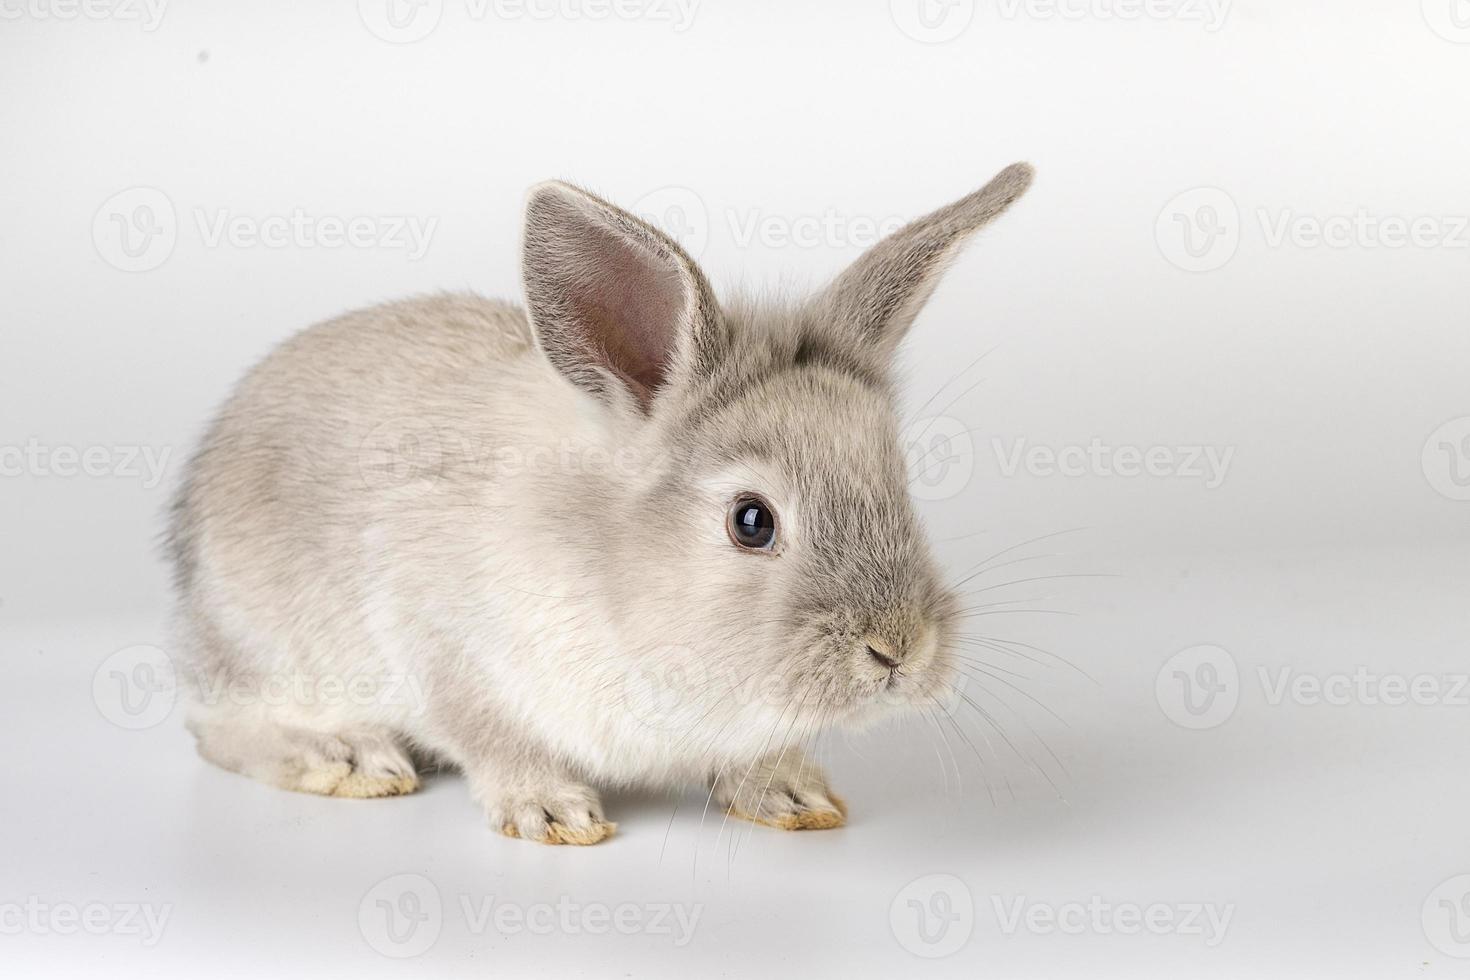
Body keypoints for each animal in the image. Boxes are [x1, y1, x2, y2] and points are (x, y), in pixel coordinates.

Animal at [169, 160, 1034, 846]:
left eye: (898, 482)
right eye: (751, 521)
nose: (900, 648)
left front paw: (790, 792)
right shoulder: (438, 643)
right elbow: (490, 737)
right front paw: (551, 812)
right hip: (262, 649)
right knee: (220, 731)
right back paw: (347, 757)